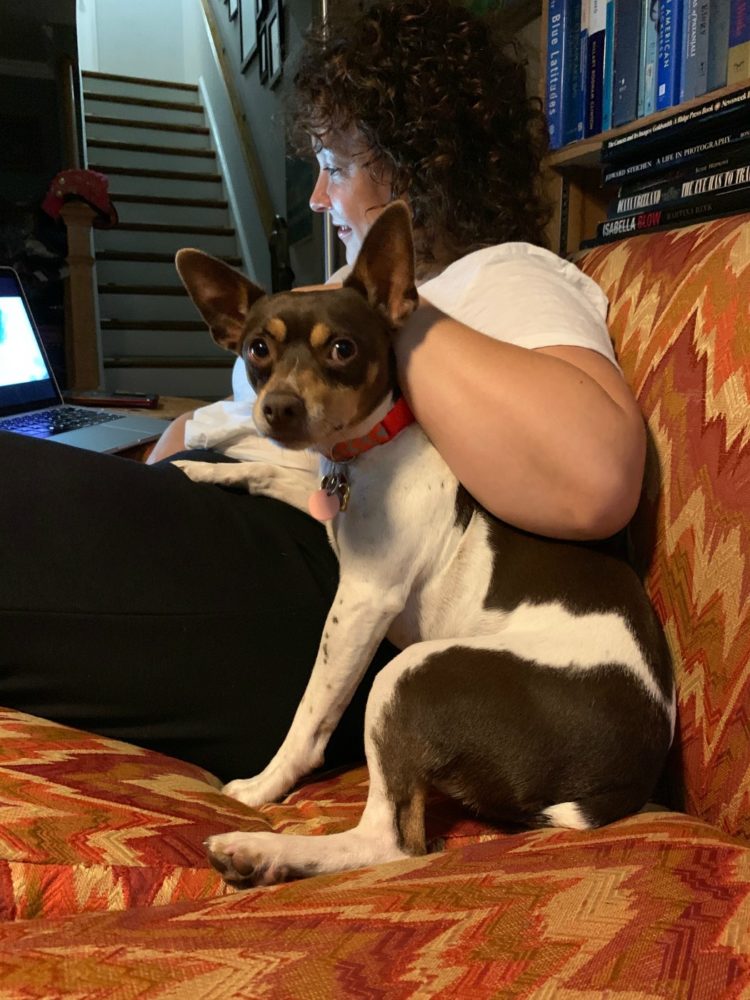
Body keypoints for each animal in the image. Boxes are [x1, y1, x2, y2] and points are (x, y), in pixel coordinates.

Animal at [175, 199, 676, 888]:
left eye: (342, 349)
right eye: (258, 350)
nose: (278, 409)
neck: (368, 450)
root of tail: (622, 787)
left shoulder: (362, 600)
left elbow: (310, 713)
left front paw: (262, 786)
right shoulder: (327, 504)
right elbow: (277, 474)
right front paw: (205, 470)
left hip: (408, 674)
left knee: (387, 842)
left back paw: (261, 848)